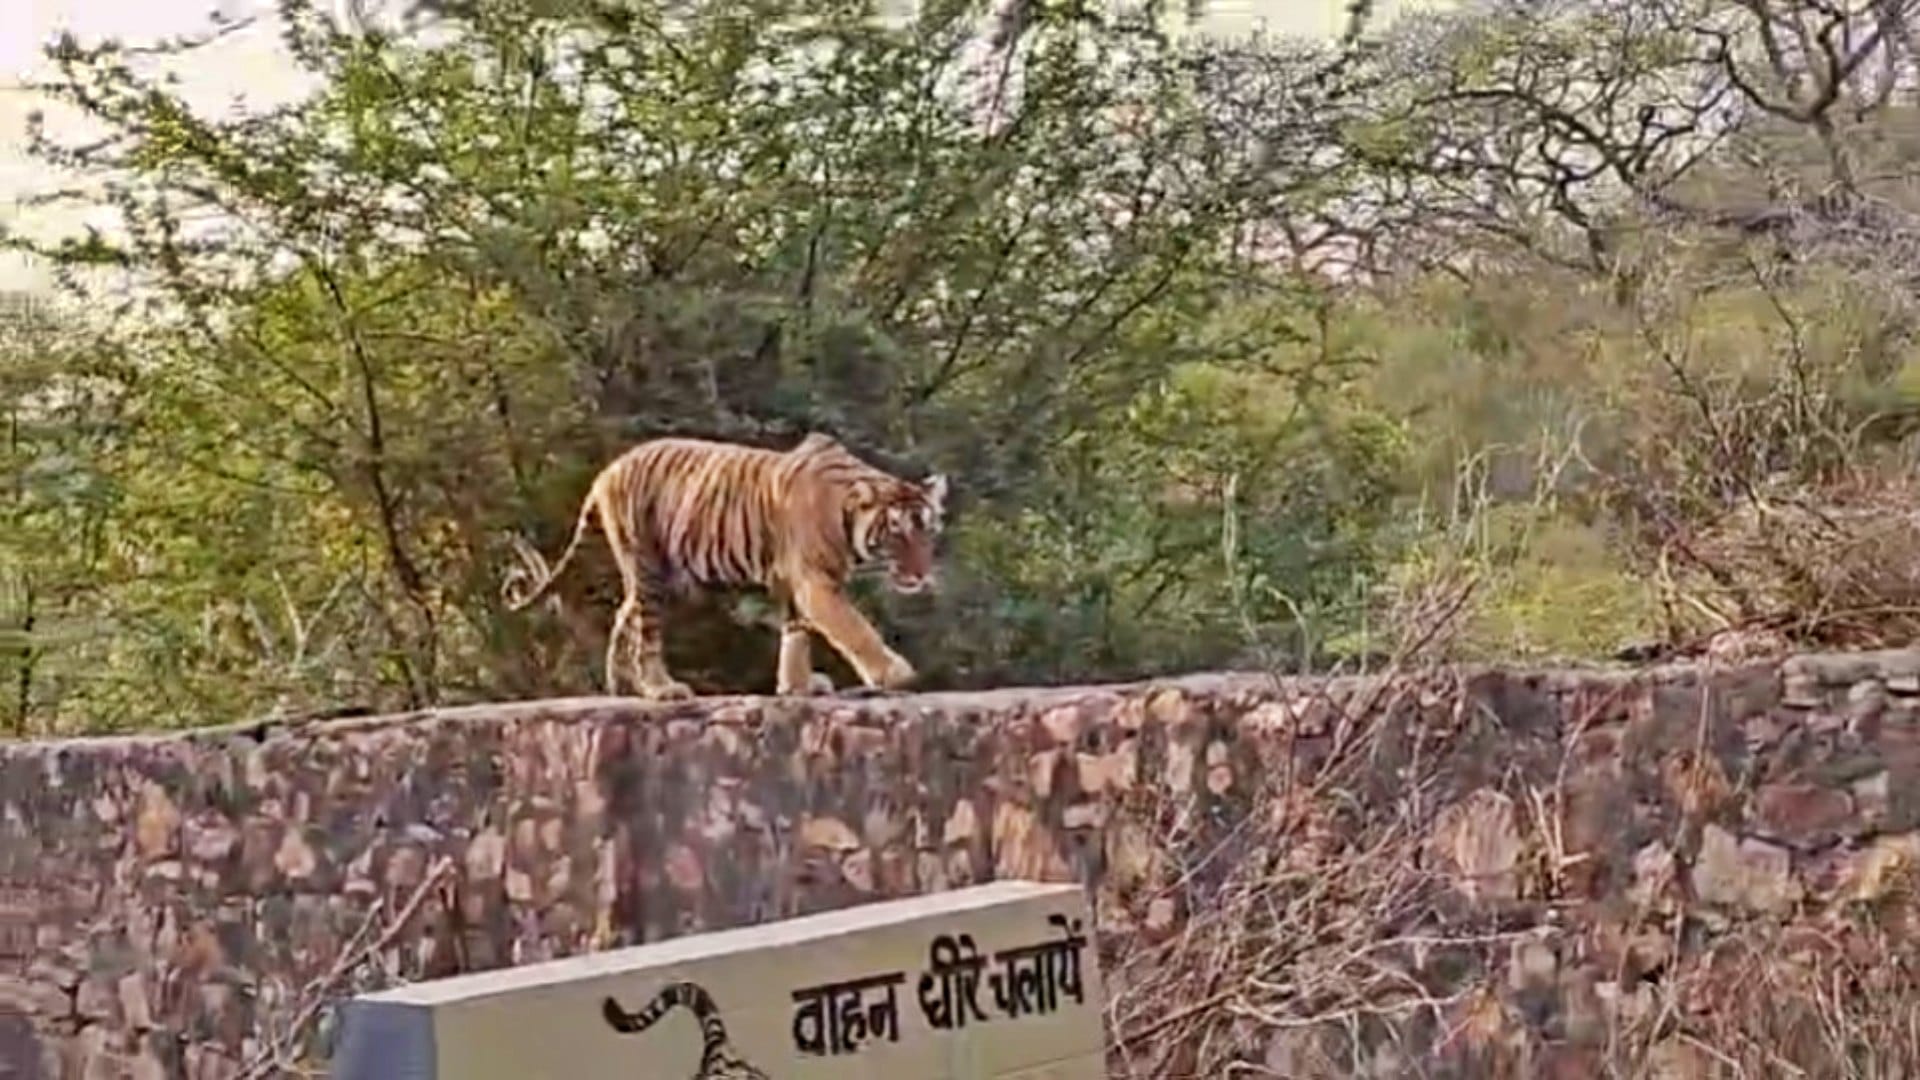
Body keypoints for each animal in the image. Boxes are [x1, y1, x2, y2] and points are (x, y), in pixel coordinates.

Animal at [501, 431, 948, 701]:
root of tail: (608, 470)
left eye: (928, 531)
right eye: (896, 534)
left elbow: (796, 635)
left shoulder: (795, 584)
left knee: (624, 612)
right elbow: (855, 628)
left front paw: (797, 686)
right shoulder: (815, 582)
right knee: (646, 630)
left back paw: (624, 688)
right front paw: (893, 674)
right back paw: (661, 689)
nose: (921, 574)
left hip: (666, 576)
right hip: (649, 568)